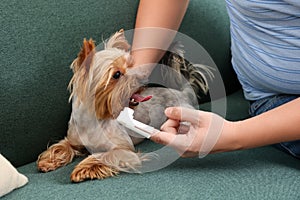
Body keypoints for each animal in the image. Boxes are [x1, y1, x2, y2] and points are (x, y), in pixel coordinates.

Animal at [36, 29, 212, 183]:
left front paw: (83, 169)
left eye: (132, 65)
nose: (142, 78)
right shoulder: (73, 140)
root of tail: (183, 93)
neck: (96, 118)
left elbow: (104, 155)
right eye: (116, 74)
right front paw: (48, 161)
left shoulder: (124, 150)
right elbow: (61, 146)